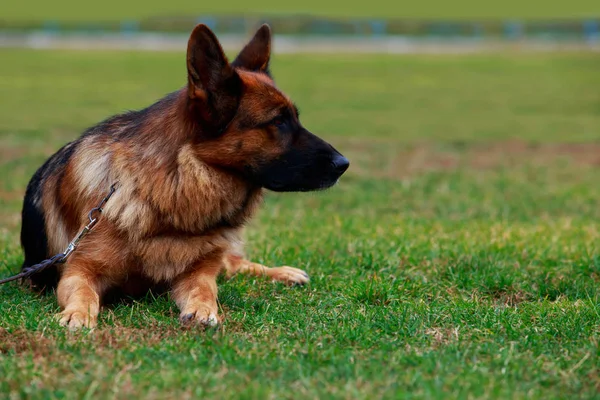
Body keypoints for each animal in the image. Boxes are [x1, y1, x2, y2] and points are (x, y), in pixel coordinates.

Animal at [19, 23, 352, 328]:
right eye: (278, 122)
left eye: (295, 118)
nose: (344, 163)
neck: (171, 189)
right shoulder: (78, 269)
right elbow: (84, 292)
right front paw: (77, 314)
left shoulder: (196, 272)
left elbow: (206, 289)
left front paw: (204, 310)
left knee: (234, 263)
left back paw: (283, 273)